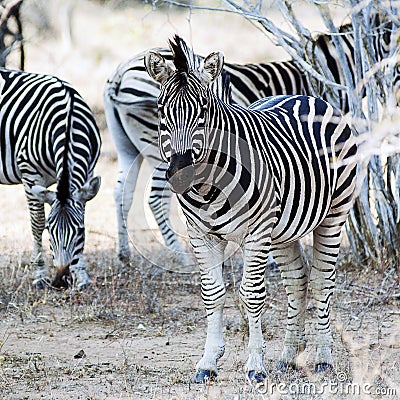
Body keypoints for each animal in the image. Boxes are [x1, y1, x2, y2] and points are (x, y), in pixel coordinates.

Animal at [0, 67, 101, 290]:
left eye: (80, 231)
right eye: (49, 230)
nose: (60, 281)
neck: (69, 120)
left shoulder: (88, 173)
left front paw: (81, 275)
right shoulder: (30, 173)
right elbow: (36, 222)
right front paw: (39, 275)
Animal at [103, 12, 394, 262]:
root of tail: (119, 74)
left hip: (127, 146)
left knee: (121, 192)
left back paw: (124, 254)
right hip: (158, 149)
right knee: (155, 197)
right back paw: (180, 256)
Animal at [145, 36, 358, 382]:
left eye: (204, 110)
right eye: (162, 111)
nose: (181, 173)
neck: (208, 188)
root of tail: (306, 96)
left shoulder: (256, 234)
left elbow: (251, 294)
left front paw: (255, 365)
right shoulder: (201, 235)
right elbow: (212, 293)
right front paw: (208, 363)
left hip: (333, 214)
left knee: (321, 280)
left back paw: (323, 359)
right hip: (283, 230)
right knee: (298, 280)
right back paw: (287, 357)